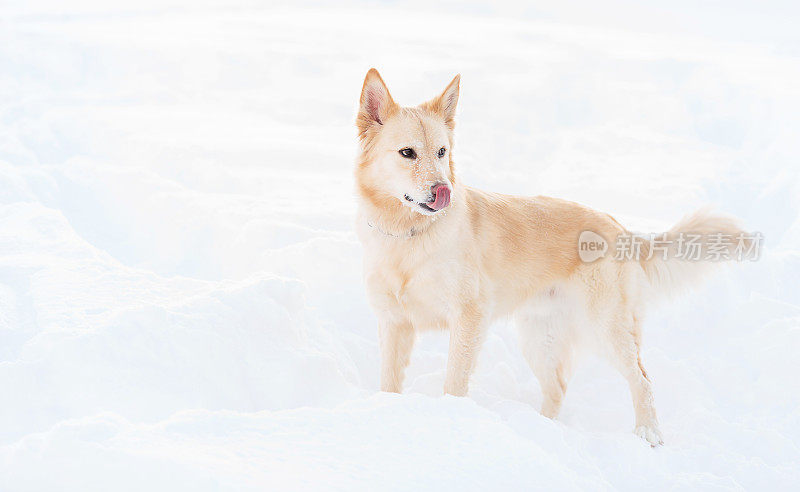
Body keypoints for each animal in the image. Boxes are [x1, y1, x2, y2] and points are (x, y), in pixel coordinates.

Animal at [354, 68, 752, 446]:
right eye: (407, 153)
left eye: (441, 152)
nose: (443, 191)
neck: (409, 235)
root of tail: (619, 227)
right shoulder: (394, 323)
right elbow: (389, 382)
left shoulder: (469, 317)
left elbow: (454, 383)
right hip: (539, 338)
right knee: (558, 388)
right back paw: (544, 430)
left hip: (606, 328)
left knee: (642, 379)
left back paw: (648, 433)